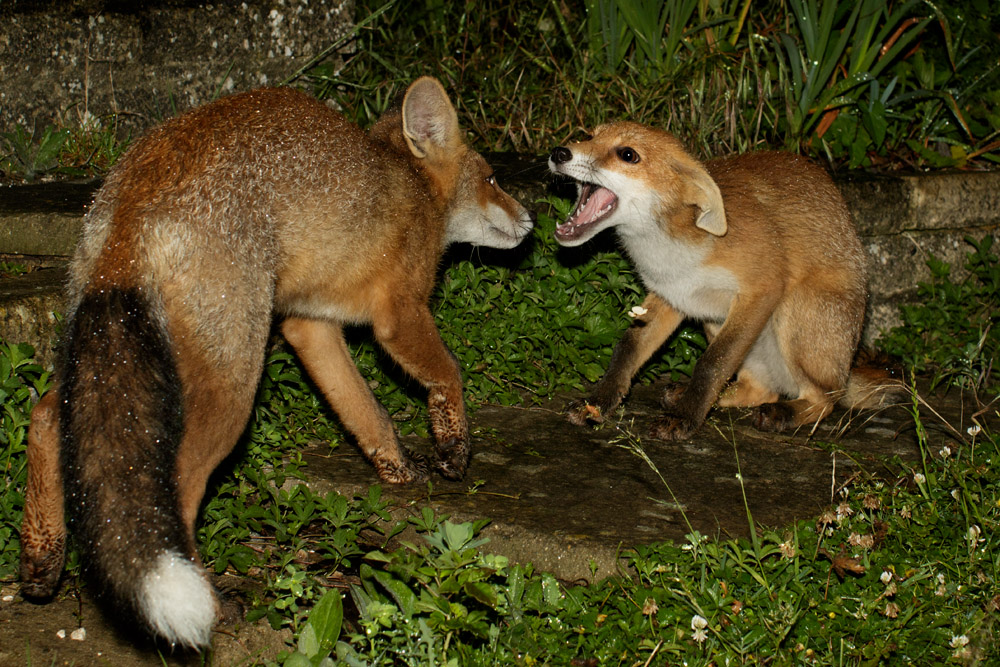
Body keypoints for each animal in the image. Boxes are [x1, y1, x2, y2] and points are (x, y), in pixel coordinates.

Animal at [18, 77, 534, 649]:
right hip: (231, 384)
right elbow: (448, 374)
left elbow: (364, 411)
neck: (411, 188)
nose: (533, 220)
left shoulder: (310, 324)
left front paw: (397, 470)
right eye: (492, 179)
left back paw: (41, 559)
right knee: (176, 483)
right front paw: (452, 446)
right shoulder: (399, 313)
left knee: (46, 415)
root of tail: (136, 193)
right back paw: (215, 607)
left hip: (119, 348)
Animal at [548, 122, 895, 441]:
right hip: (713, 318)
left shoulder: (762, 289)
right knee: (760, 390)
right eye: (589, 136)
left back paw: (785, 412)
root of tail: (847, 367)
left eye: (627, 154)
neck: (672, 251)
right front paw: (598, 403)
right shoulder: (671, 296)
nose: (559, 152)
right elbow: (627, 349)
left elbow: (712, 363)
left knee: (826, 399)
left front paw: (685, 418)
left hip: (794, 314)